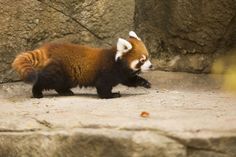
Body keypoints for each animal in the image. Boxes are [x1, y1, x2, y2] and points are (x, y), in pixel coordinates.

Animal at [11, 31, 153, 98]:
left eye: (148, 57)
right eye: (142, 60)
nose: (151, 66)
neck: (117, 62)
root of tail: (48, 48)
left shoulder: (123, 74)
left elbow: (130, 80)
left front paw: (145, 83)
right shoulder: (107, 71)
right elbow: (102, 86)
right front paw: (111, 95)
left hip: (68, 75)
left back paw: (66, 92)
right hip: (58, 70)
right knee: (45, 80)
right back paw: (37, 92)